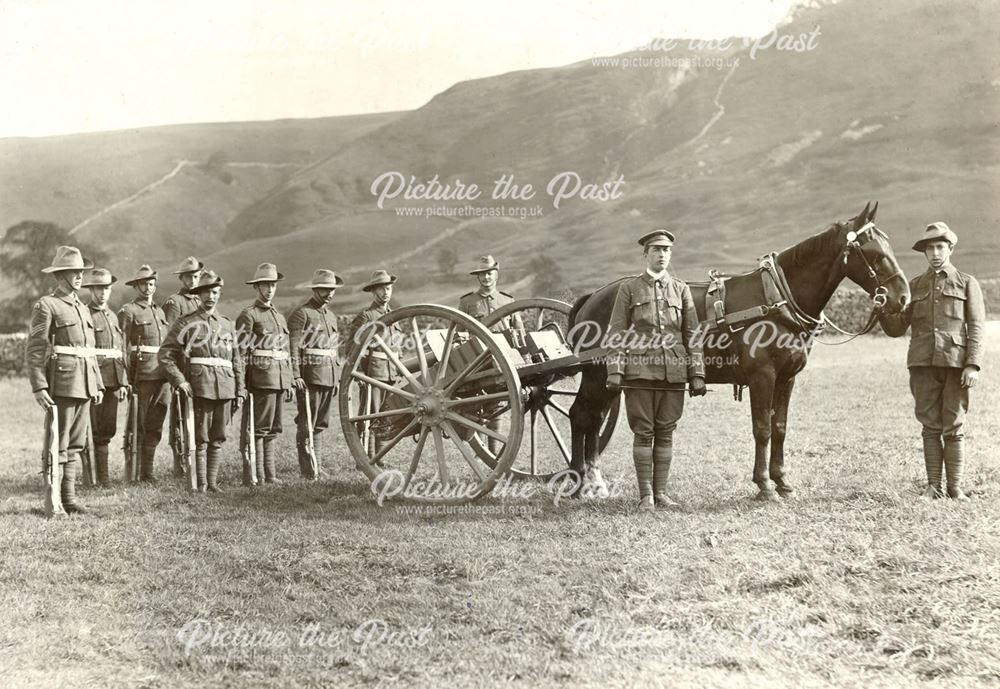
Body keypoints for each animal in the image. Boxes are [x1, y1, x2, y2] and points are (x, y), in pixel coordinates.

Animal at [568, 202, 912, 498]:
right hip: (598, 377)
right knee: (581, 415)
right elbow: (762, 429)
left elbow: (779, 428)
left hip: (610, 382)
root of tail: (593, 296)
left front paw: (782, 480)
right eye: (874, 253)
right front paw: (764, 485)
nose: (903, 298)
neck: (776, 300)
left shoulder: (786, 379)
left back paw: (591, 480)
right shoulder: (763, 377)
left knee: (592, 418)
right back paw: (580, 481)